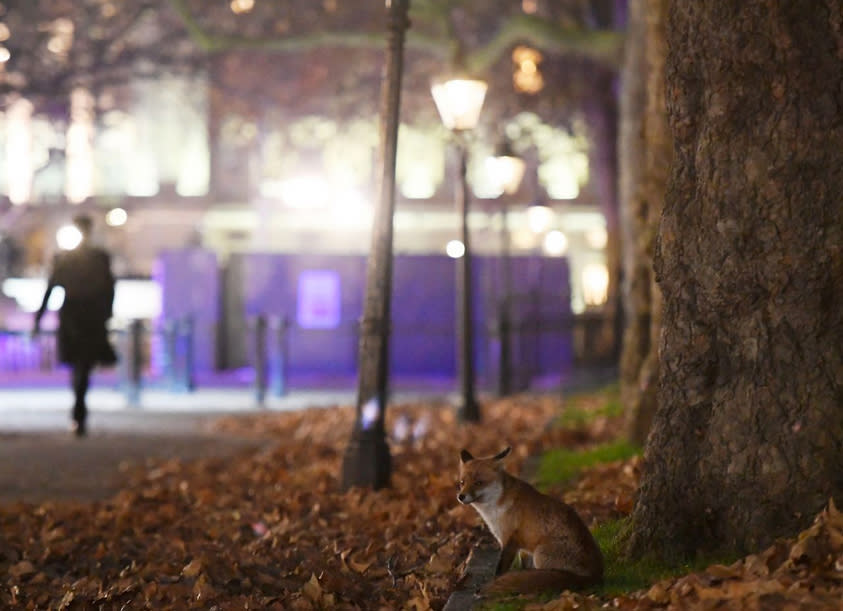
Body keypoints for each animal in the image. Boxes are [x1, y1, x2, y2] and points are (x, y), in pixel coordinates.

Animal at [458, 448, 604, 596]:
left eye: (478, 483)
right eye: (462, 482)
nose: (460, 496)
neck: (498, 505)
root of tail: (594, 576)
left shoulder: (509, 541)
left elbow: (500, 570)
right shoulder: (523, 547)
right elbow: (523, 568)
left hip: (539, 555)